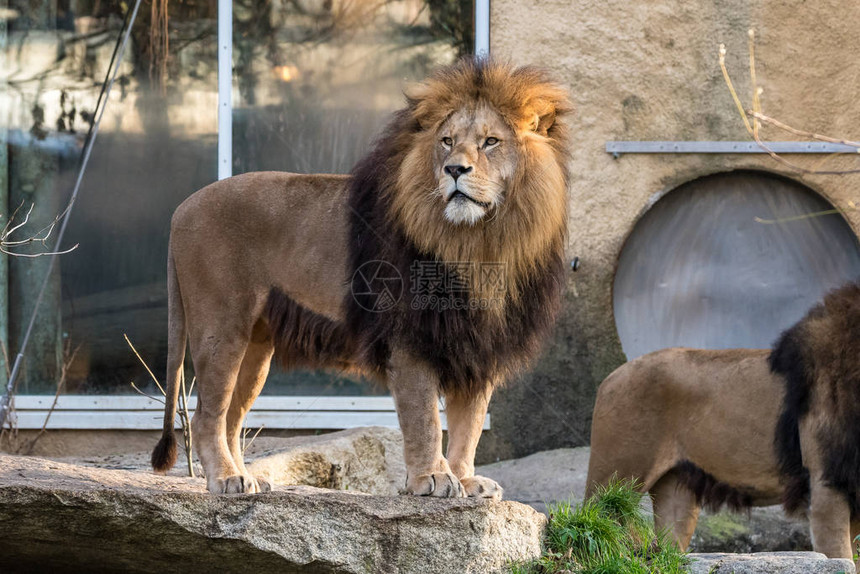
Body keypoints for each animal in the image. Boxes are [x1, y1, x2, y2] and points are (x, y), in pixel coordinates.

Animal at [152, 59, 576, 500]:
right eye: (446, 141)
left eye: (491, 141)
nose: (455, 169)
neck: (479, 242)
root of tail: (182, 208)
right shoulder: (410, 338)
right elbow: (425, 417)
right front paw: (433, 478)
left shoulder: (478, 343)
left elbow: (470, 425)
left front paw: (464, 479)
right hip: (222, 328)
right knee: (206, 416)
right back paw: (226, 479)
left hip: (256, 347)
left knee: (232, 417)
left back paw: (249, 478)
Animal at [584, 284, 860, 568]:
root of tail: (611, 376)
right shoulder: (826, 486)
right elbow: (842, 557)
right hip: (614, 476)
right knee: (594, 525)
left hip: (676, 490)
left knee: (669, 549)